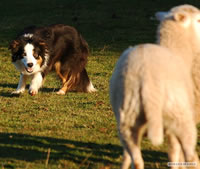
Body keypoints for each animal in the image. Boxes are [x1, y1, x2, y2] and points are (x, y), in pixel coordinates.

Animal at [109, 4, 200, 169]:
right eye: (199, 20)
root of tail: (147, 79)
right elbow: (176, 154)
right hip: (180, 117)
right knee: (190, 155)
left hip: (127, 121)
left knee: (137, 160)